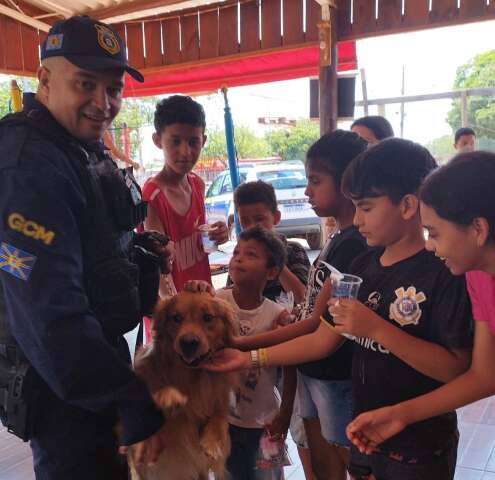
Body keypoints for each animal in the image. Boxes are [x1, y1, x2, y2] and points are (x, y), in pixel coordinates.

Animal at [130, 290, 238, 478]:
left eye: (208, 317)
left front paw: (212, 442)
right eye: (176, 317)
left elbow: (220, 417)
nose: (188, 343)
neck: (191, 378)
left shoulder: (219, 397)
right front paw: (167, 396)